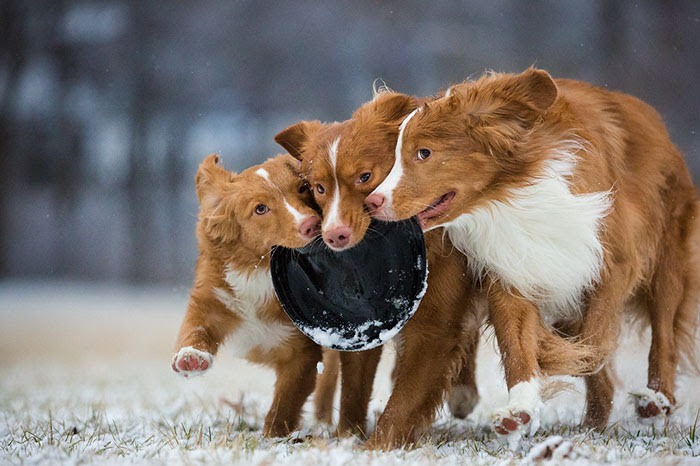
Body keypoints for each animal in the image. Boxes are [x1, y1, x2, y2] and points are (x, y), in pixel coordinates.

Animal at [172, 154, 340, 436]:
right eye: (260, 209)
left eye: (302, 189)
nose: (311, 225)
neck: (261, 271)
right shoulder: (212, 301)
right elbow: (195, 327)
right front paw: (191, 357)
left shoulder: (302, 352)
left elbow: (286, 401)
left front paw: (273, 436)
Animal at [366, 66, 700, 440]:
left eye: (423, 152)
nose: (372, 201)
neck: (508, 195)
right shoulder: (514, 268)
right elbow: (518, 345)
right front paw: (519, 409)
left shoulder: (613, 263)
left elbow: (594, 341)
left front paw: (554, 355)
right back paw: (593, 423)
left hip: (667, 261)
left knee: (664, 334)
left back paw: (657, 398)